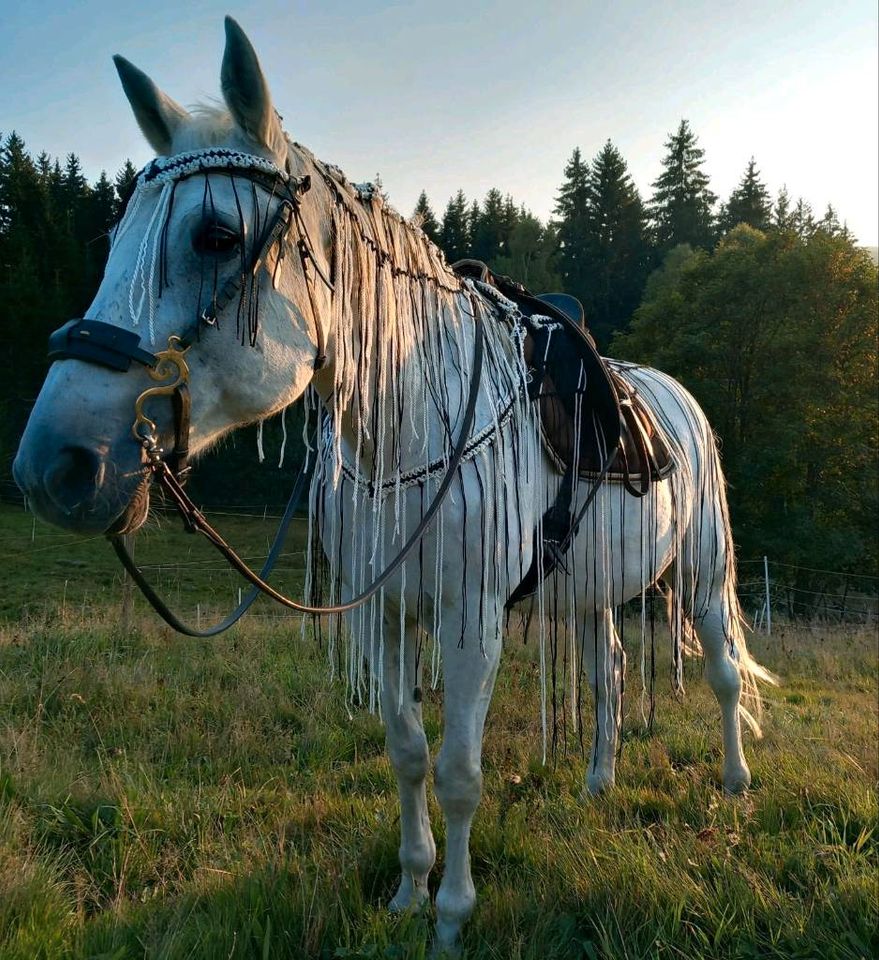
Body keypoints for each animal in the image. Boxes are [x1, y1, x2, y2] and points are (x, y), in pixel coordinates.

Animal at [12, 18, 768, 956]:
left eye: (216, 236)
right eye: (114, 241)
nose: (54, 465)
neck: (408, 430)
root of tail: (674, 398)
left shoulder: (471, 619)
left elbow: (458, 771)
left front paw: (452, 915)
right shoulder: (381, 613)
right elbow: (407, 750)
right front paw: (411, 890)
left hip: (701, 572)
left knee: (725, 673)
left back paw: (734, 785)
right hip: (592, 594)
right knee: (609, 677)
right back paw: (598, 781)